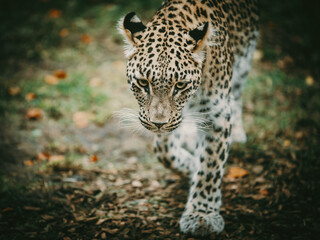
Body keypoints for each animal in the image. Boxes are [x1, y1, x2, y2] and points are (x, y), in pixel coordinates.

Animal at [119, 0, 258, 236]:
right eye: (143, 83)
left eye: (180, 85)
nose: (158, 123)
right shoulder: (165, 120)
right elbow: (164, 151)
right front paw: (192, 164)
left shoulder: (216, 114)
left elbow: (210, 166)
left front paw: (202, 215)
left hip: (244, 60)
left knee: (238, 94)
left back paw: (238, 133)